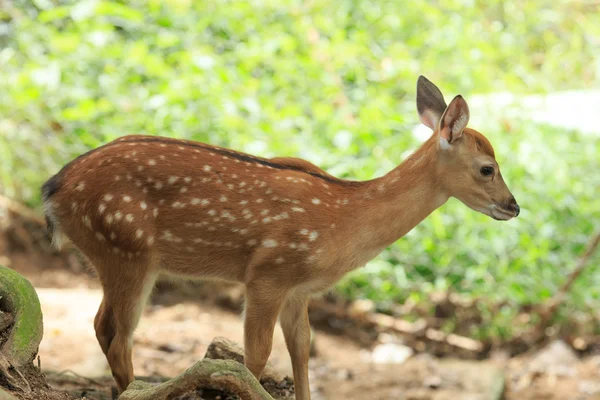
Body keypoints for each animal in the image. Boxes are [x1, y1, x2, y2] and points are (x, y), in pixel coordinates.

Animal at [42, 76, 520, 398]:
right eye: (487, 168)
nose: (513, 206)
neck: (343, 221)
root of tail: (53, 190)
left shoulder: (299, 289)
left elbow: (302, 350)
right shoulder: (267, 273)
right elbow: (255, 355)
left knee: (105, 329)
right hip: (125, 247)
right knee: (114, 334)